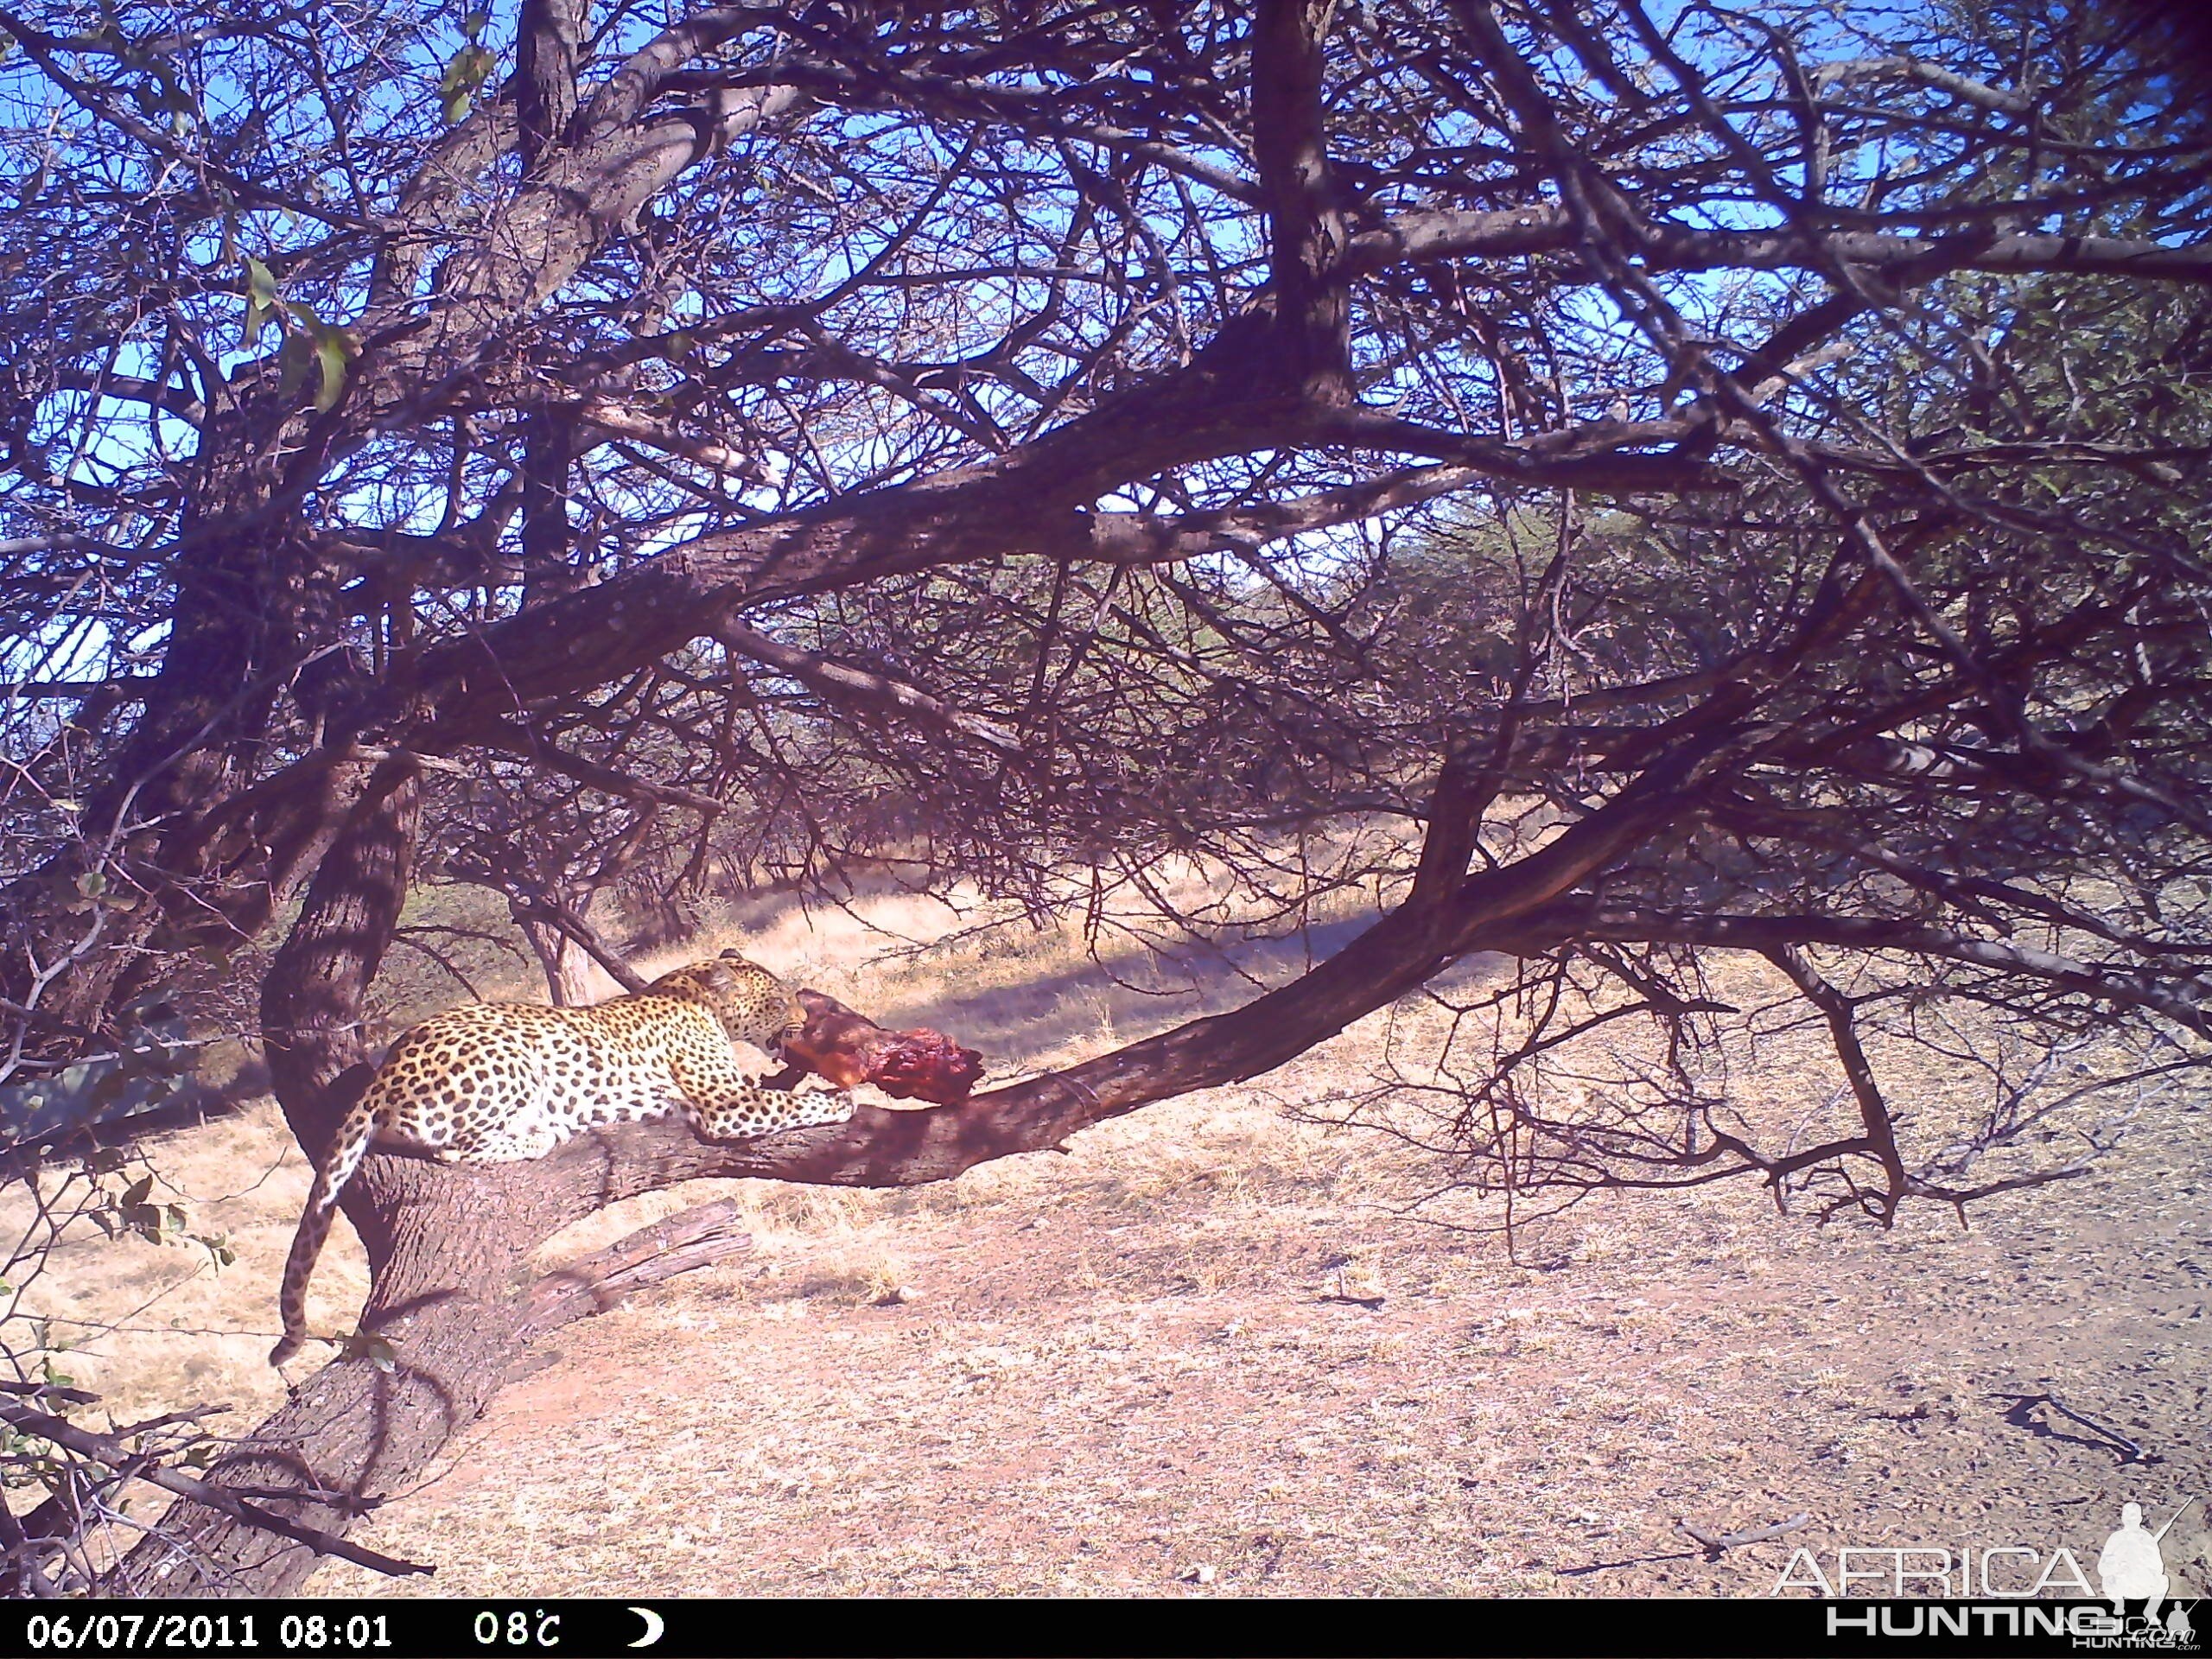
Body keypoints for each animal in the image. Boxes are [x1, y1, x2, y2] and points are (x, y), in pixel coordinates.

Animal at [261, 955, 844, 1371]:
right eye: (779, 999)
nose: (802, 1018)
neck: (694, 996)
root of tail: (383, 1074)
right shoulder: (724, 1105)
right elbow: (788, 1104)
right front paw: (838, 1100)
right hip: (510, 1060)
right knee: (454, 1148)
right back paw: (544, 1133)